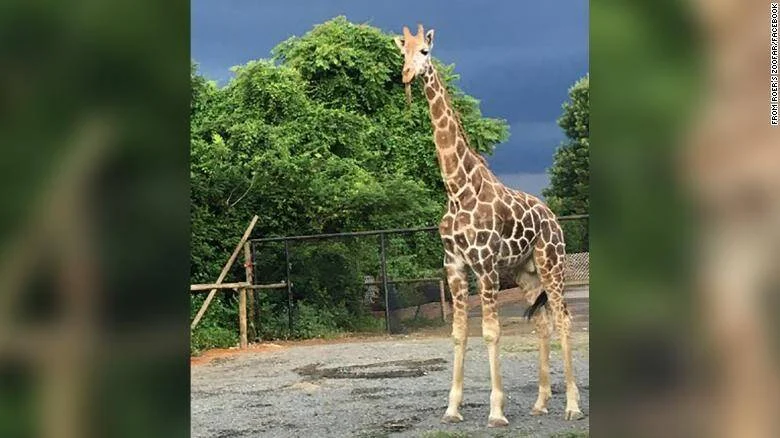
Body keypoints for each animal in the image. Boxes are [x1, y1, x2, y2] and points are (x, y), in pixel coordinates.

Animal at [394, 24, 583, 427]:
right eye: (403, 53)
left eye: (425, 52)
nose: (406, 75)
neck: (457, 189)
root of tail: (553, 217)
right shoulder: (454, 265)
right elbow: (458, 333)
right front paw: (452, 409)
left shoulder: (484, 265)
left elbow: (492, 332)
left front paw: (496, 411)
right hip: (526, 272)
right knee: (542, 322)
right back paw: (541, 402)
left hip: (552, 263)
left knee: (564, 320)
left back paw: (573, 406)